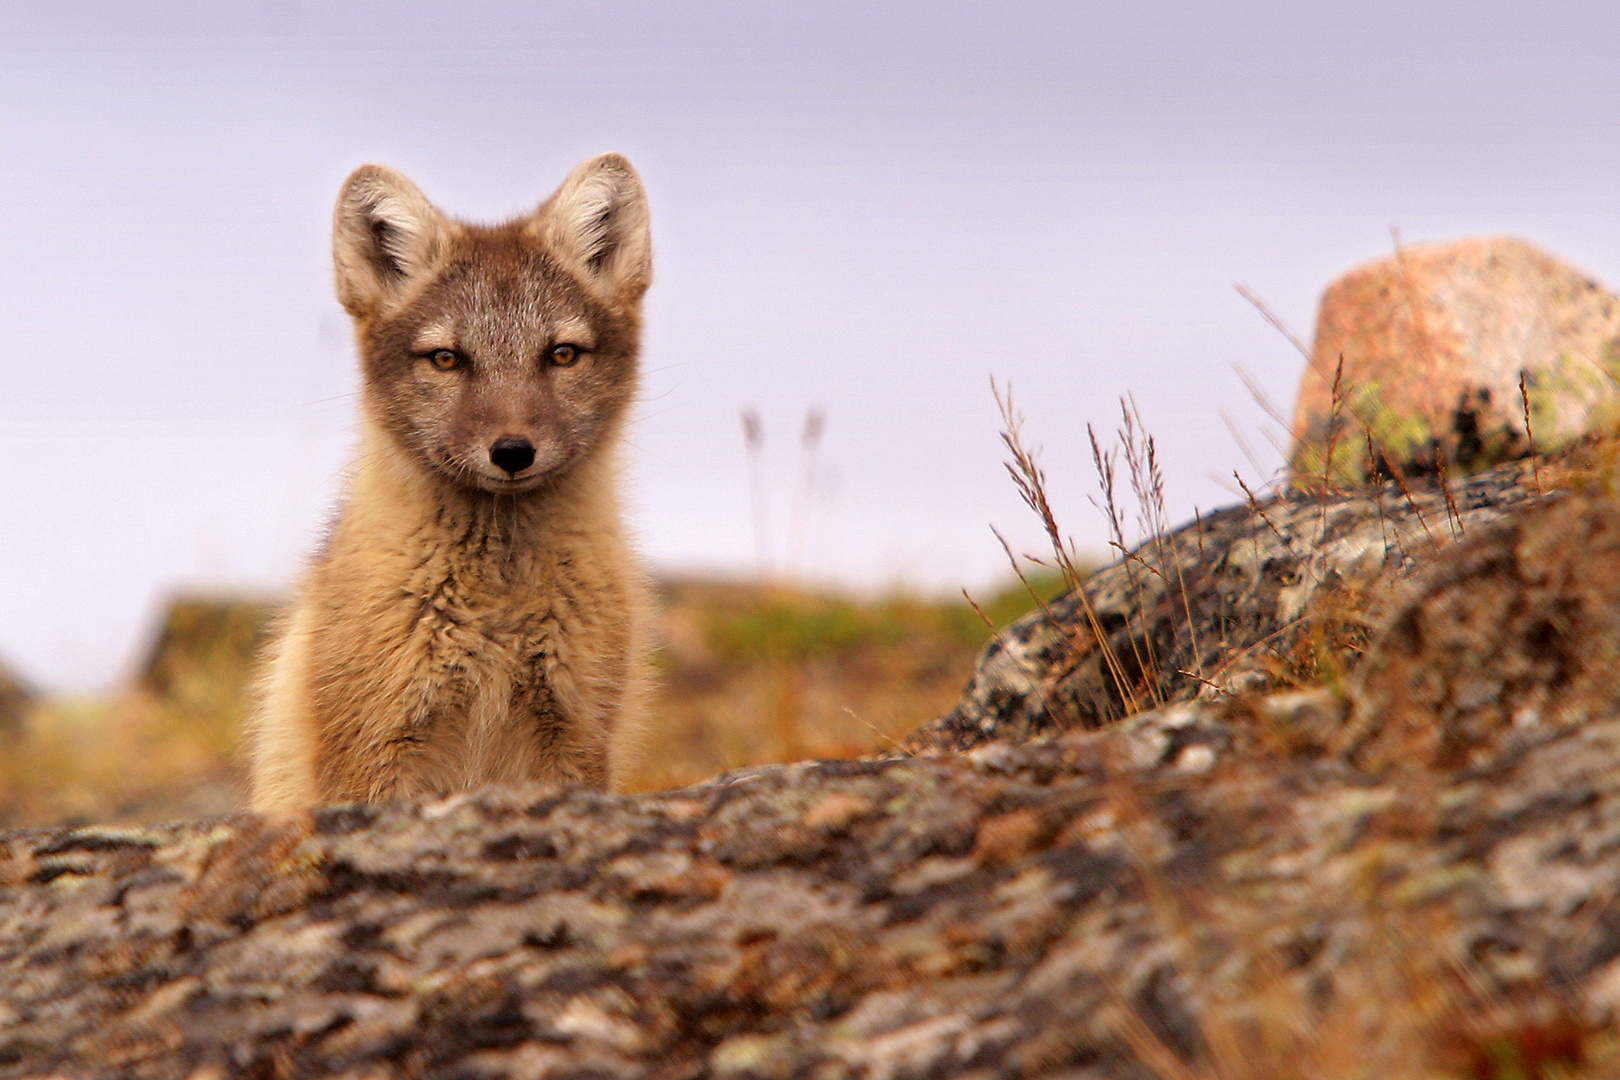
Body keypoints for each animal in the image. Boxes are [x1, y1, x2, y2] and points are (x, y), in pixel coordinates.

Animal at [246, 152, 651, 809]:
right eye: (446, 359)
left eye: (562, 354)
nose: (512, 452)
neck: (499, 614)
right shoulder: (375, 748)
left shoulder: (576, 738)